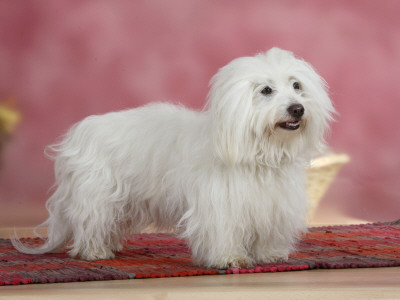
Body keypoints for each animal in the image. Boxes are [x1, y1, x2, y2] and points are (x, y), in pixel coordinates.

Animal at [12, 48, 334, 268]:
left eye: (296, 86)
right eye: (266, 90)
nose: (297, 109)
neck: (259, 152)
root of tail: (81, 130)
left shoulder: (273, 205)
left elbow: (268, 233)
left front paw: (270, 255)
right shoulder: (220, 206)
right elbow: (224, 232)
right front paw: (229, 258)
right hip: (97, 195)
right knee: (91, 224)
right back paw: (95, 252)